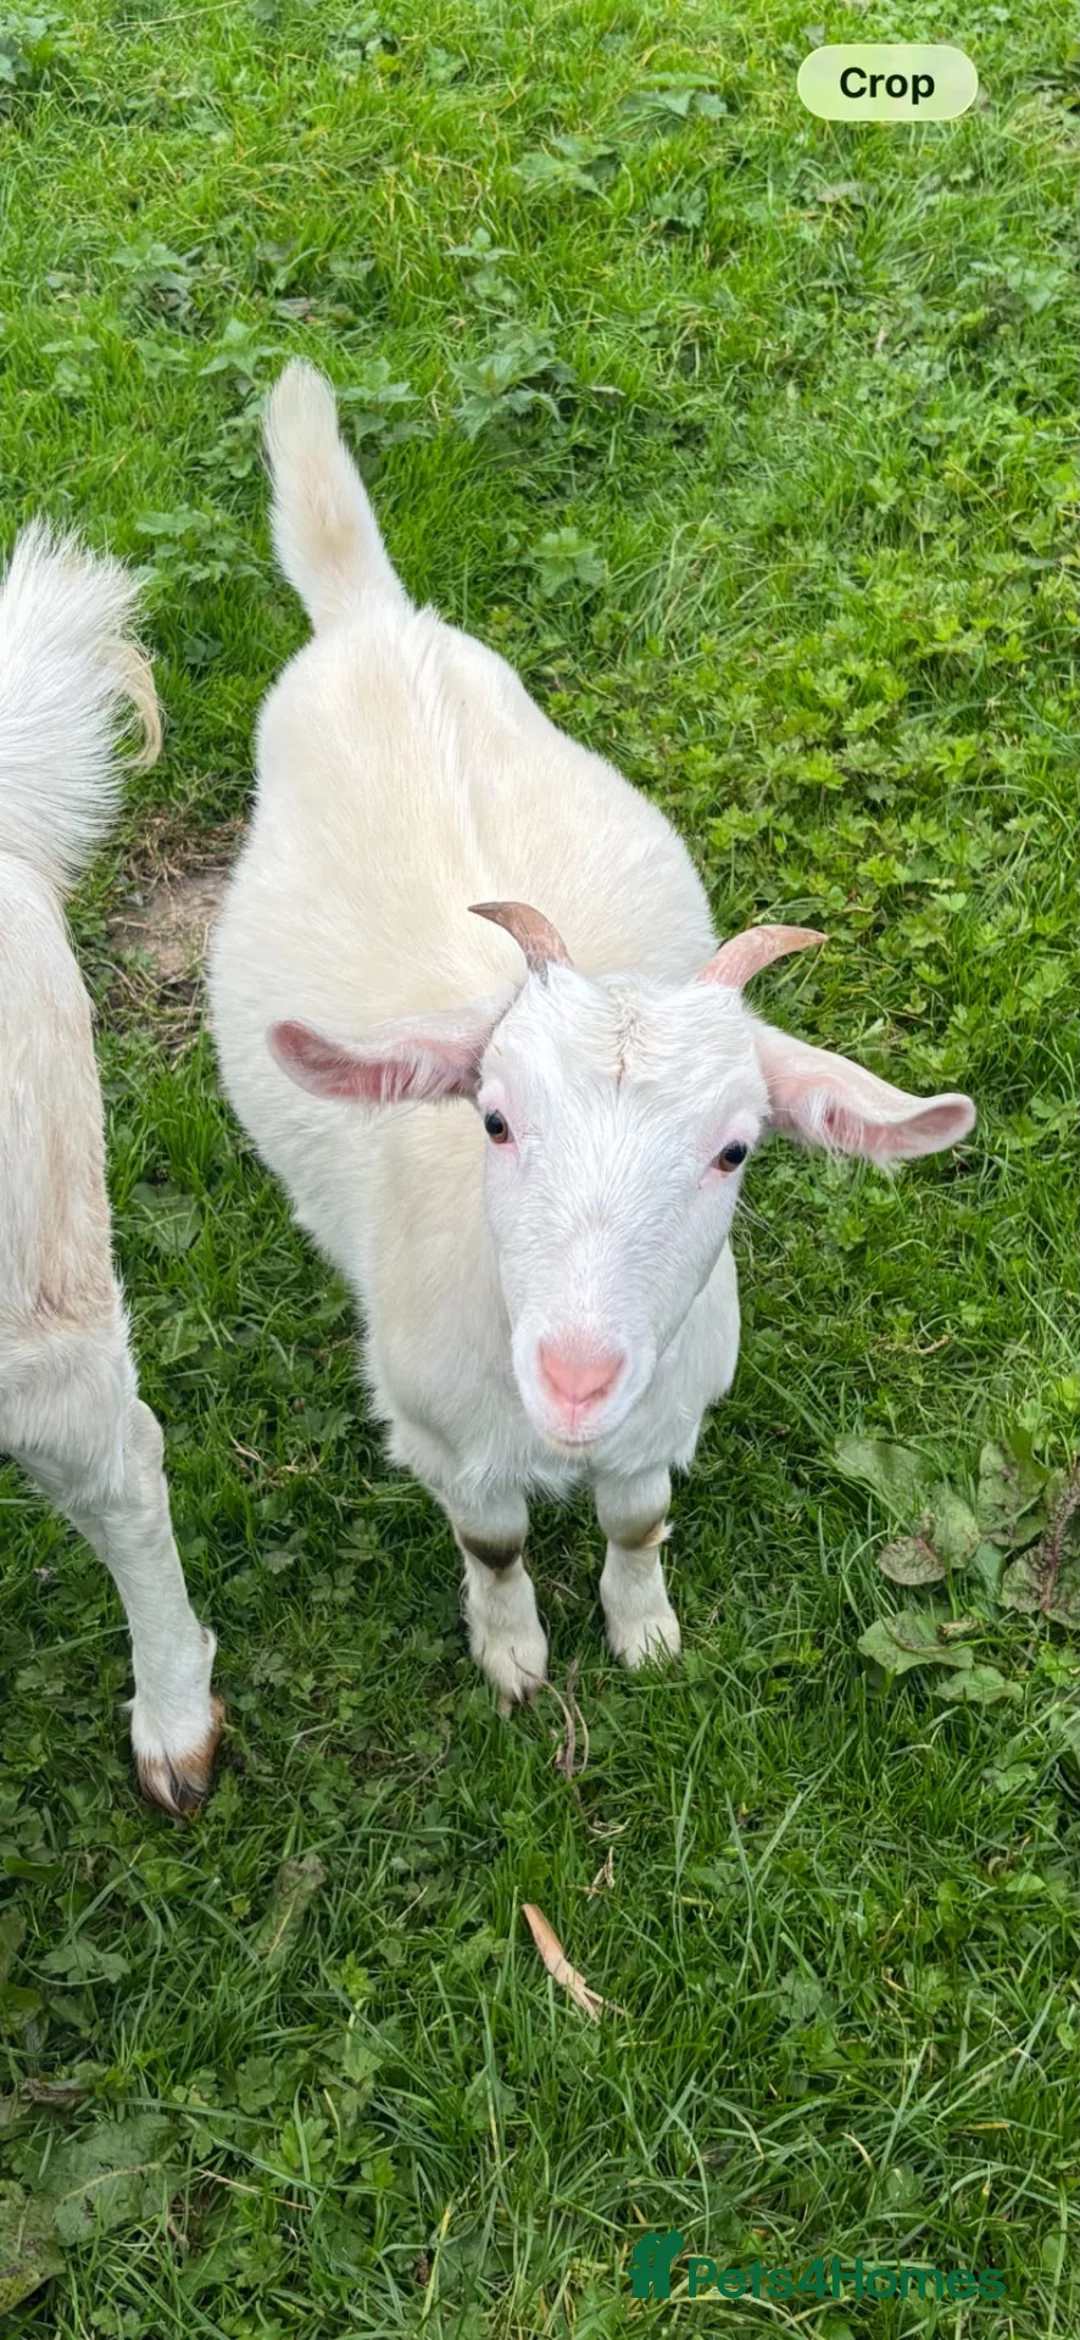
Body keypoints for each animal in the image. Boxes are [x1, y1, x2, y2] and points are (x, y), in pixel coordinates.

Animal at [208, 361, 975, 1709]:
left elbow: (635, 1524)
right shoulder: (446, 1439)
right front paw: (514, 1657)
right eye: (495, 1119)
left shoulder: (666, 1420)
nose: (575, 1379)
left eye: (736, 1149)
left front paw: (644, 1629)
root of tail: (372, 620)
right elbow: (493, 1544)